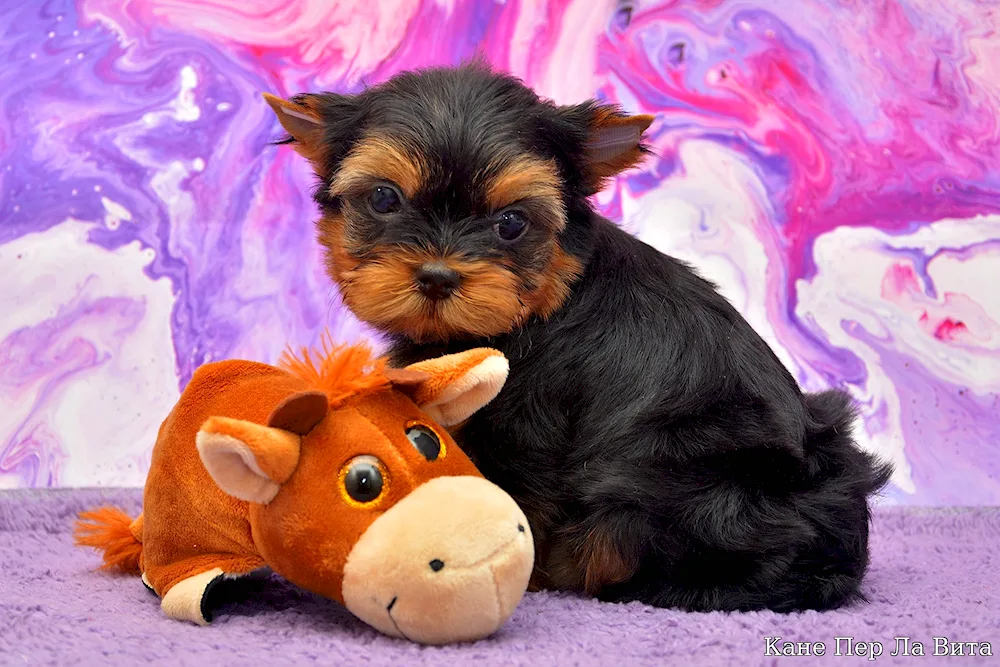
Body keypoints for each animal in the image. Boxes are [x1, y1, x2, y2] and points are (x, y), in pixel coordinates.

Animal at [266, 64, 892, 616]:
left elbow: (517, 494)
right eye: (384, 199)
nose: (438, 276)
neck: (543, 302)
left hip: (666, 481)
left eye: (511, 223)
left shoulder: (527, 426)